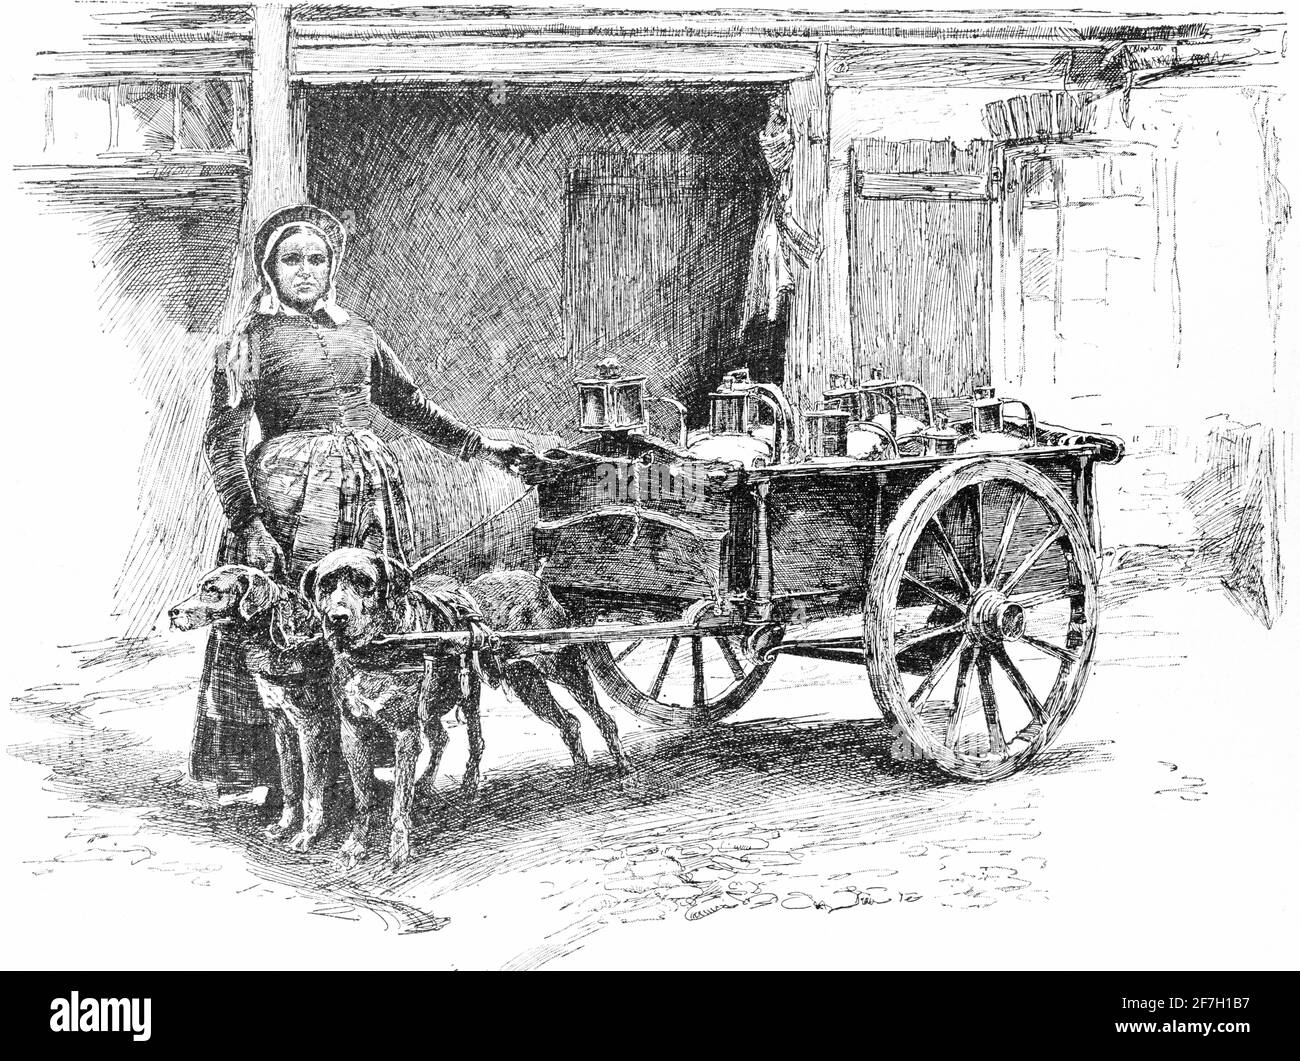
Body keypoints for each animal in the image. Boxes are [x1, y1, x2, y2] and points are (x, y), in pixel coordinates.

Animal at [167, 564, 338, 852]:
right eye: (200, 586)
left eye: (212, 589)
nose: (172, 613)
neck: (280, 638)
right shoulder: (283, 728)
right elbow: (291, 783)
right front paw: (284, 825)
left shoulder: (312, 730)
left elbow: (312, 792)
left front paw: (307, 834)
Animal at [304, 546, 629, 868]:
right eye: (325, 586)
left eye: (365, 583)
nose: (337, 618)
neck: (377, 650)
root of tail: (536, 581)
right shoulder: (353, 733)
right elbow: (363, 798)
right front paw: (355, 845)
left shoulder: (405, 735)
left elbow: (399, 801)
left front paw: (398, 849)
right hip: (525, 683)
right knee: (565, 723)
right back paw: (579, 774)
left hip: (563, 667)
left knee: (602, 716)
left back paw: (621, 765)